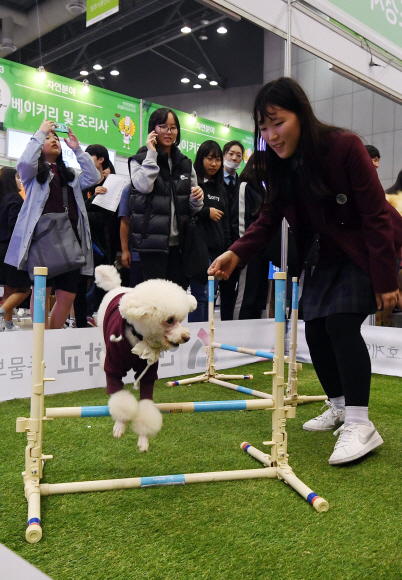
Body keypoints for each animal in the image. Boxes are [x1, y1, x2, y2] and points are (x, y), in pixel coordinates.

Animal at [96, 268, 196, 454]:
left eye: (181, 319)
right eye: (170, 320)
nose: (186, 337)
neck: (139, 338)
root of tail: (117, 287)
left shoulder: (148, 373)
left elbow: (146, 407)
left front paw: (143, 438)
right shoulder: (114, 369)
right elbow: (120, 399)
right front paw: (120, 425)